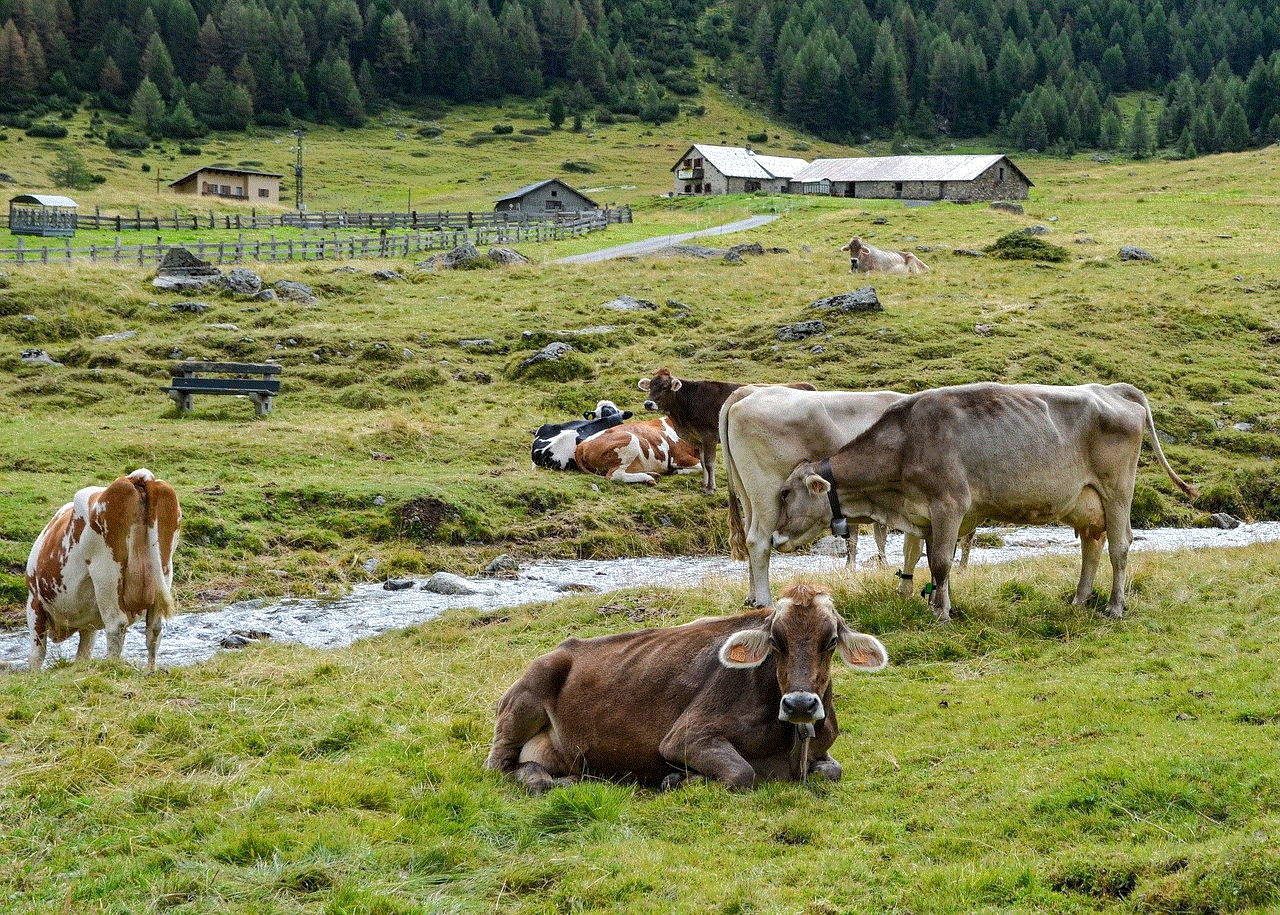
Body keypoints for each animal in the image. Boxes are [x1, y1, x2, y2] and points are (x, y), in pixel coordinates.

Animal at [25, 473, 181, 670]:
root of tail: (137, 476)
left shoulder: (34, 602)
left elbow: (36, 654)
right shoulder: (88, 626)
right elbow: (83, 653)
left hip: (106, 574)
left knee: (116, 625)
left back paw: (112, 665)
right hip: (164, 570)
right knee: (154, 629)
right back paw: (150, 671)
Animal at [483, 583, 885, 793]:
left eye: (831, 641)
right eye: (775, 641)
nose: (800, 704)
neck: (790, 746)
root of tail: (563, 647)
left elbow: (834, 770)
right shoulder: (686, 737)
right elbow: (743, 774)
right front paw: (677, 778)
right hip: (530, 689)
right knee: (501, 766)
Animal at [576, 417, 706, 486]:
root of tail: (582, 444)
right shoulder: (679, 456)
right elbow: (700, 467)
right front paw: (677, 471)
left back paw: (652, 474)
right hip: (631, 440)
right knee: (615, 475)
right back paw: (648, 477)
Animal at [637, 366, 814, 496]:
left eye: (665, 387)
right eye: (650, 386)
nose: (648, 404)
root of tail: (806, 385)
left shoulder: (709, 436)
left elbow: (709, 463)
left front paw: (710, 489)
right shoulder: (698, 439)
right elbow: (703, 462)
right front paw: (704, 485)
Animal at [768, 378, 1198, 621]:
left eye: (786, 492)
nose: (774, 537)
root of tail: (1112, 389)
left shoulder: (949, 504)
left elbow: (941, 563)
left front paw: (942, 615)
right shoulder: (927, 516)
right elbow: (932, 562)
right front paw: (936, 604)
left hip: (1116, 489)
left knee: (1119, 546)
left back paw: (1114, 607)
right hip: (1085, 501)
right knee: (1092, 548)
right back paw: (1078, 601)